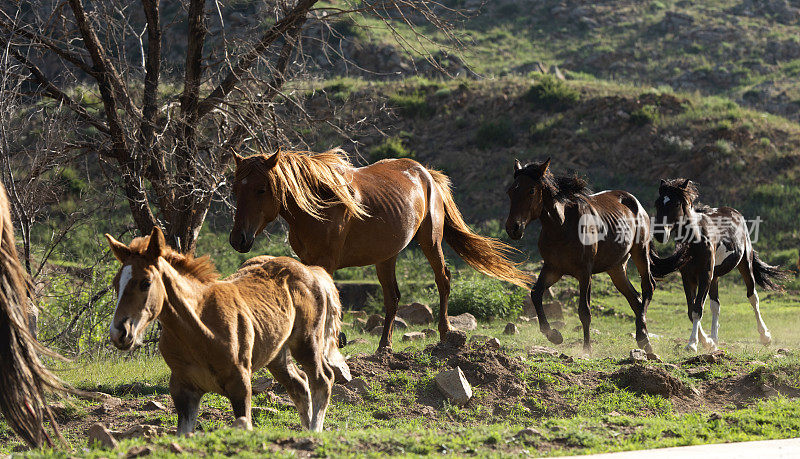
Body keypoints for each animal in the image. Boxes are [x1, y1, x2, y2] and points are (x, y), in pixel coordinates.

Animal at [104, 228, 346, 434]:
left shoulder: (240, 385)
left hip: (306, 343)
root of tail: (312, 271)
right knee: (299, 386)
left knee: (322, 380)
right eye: (116, 283)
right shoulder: (183, 391)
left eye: (145, 282)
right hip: (277, 353)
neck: (201, 331)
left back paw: (314, 431)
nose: (119, 332)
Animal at [228, 149, 536, 350]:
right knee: (393, 297)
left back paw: (445, 333)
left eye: (261, 189)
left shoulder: (326, 261)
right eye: (235, 189)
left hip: (430, 242)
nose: (238, 239)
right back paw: (383, 346)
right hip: (386, 257)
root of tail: (426, 174)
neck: (320, 203)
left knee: (443, 280)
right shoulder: (306, 260)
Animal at [506, 159, 688, 356]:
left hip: (640, 252)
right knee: (635, 299)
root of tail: (637, 205)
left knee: (648, 287)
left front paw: (586, 348)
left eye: (531, 190)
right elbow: (536, 294)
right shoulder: (552, 269)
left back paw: (642, 338)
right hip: (616, 268)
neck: (562, 226)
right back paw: (644, 340)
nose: (513, 228)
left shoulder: (585, 272)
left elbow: (584, 311)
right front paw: (554, 335)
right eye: (511, 191)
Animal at [652, 180, 784, 352]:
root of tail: (734, 211)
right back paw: (714, 340)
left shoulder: (705, 275)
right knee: (716, 305)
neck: (696, 240)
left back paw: (765, 336)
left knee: (753, 297)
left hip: (744, 264)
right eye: (657, 203)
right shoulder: (688, 277)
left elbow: (697, 310)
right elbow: (691, 310)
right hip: (714, 277)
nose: (659, 234)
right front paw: (706, 342)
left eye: (675, 204)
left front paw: (692, 343)